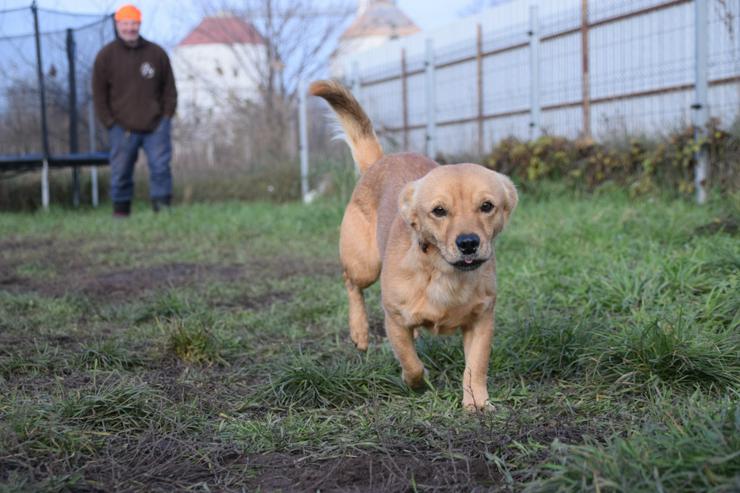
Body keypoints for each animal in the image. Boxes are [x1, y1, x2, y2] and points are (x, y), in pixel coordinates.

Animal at [310, 81, 516, 412]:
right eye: (439, 211)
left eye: (487, 206)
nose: (468, 243)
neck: (445, 274)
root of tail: (380, 160)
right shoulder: (394, 320)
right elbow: (411, 362)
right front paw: (416, 382)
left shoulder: (481, 321)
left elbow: (476, 367)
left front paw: (477, 402)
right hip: (364, 265)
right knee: (351, 285)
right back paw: (359, 332)